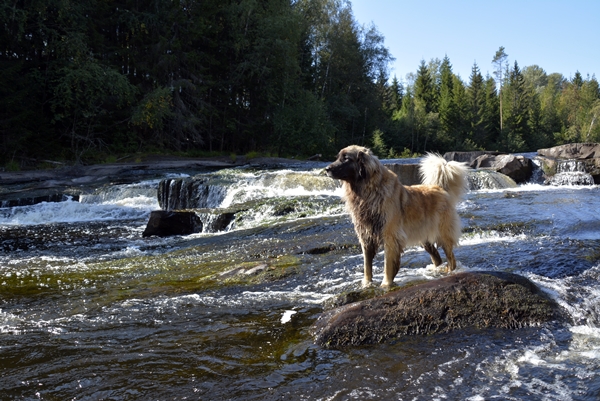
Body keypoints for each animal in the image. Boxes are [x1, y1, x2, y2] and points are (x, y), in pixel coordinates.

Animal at [324, 145, 468, 286]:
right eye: (338, 157)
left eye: (346, 158)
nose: (326, 169)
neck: (368, 193)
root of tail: (440, 189)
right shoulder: (366, 237)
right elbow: (367, 266)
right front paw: (367, 283)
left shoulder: (390, 236)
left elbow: (387, 266)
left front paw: (386, 284)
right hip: (425, 239)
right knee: (437, 258)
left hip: (443, 234)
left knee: (451, 258)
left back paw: (449, 271)